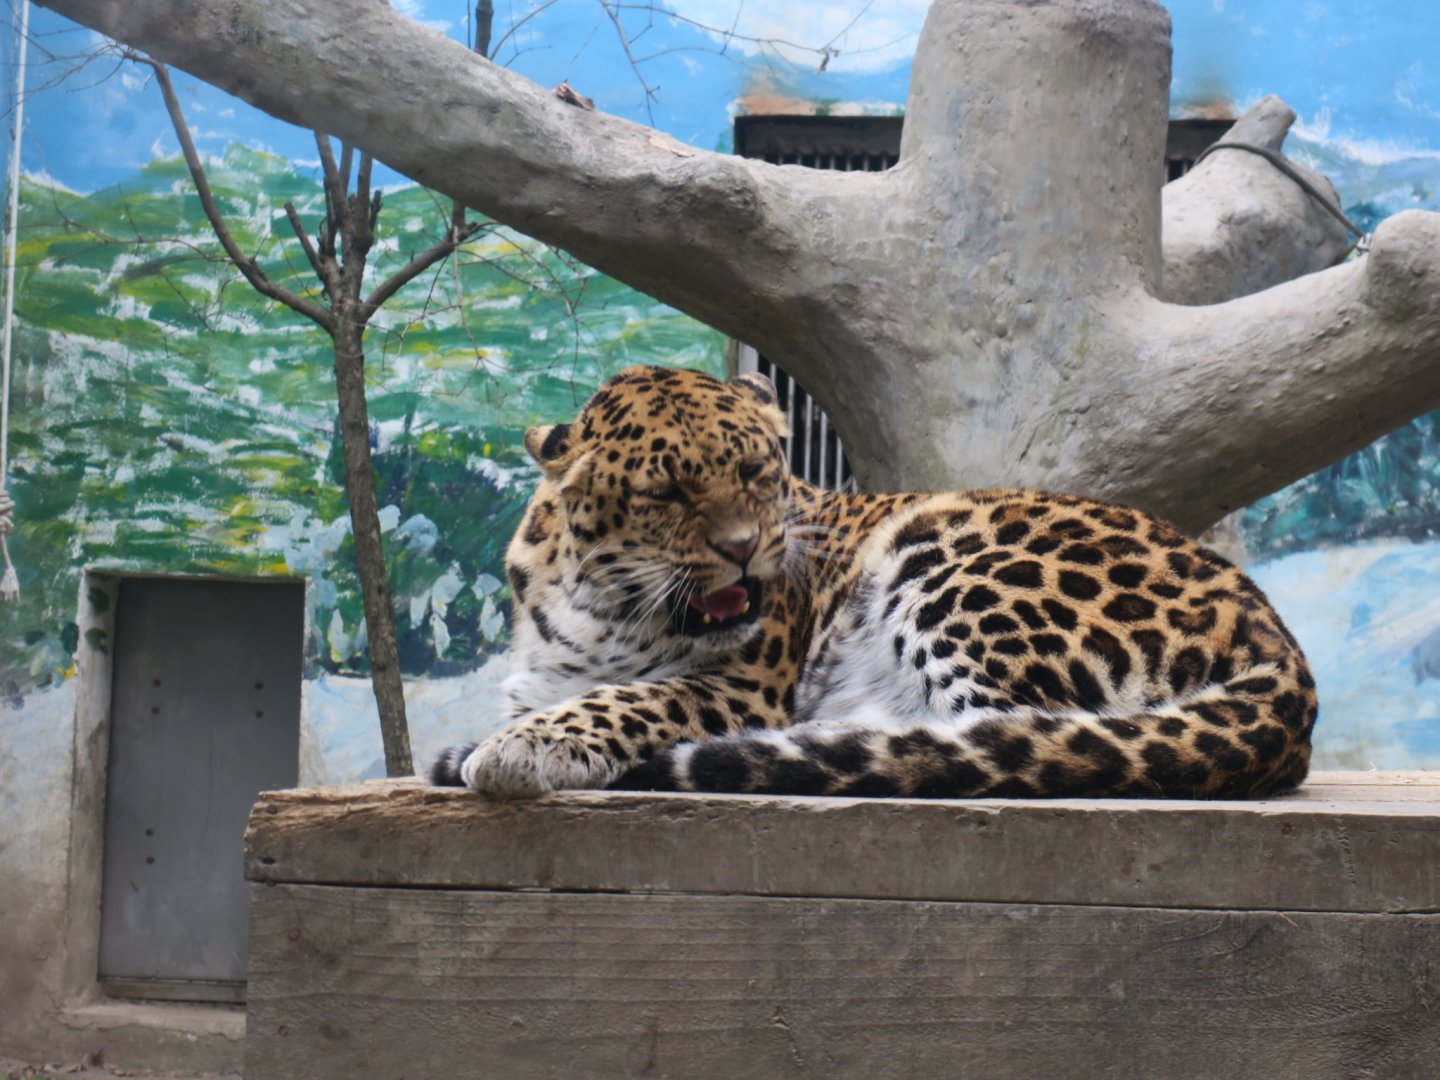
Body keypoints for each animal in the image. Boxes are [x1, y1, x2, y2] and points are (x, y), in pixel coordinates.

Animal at [431, 364, 1315, 800]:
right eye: (668, 493)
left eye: (757, 470)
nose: (745, 551)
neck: (601, 601)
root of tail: (1284, 653)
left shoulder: (743, 685)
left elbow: (631, 698)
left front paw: (520, 750)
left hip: (953, 555)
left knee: (1003, 742)